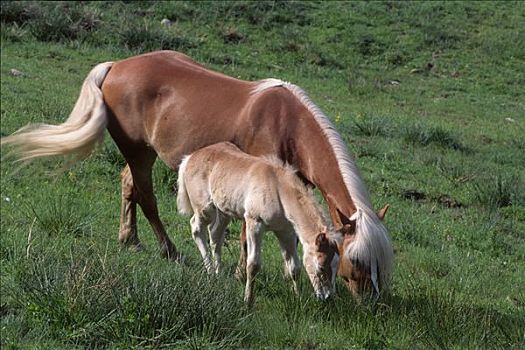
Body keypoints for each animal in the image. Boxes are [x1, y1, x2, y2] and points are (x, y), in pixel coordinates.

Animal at [176, 142, 340, 304]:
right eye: (321, 267)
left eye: (336, 267)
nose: (328, 297)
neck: (278, 189)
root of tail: (190, 157)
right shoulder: (254, 223)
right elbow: (253, 264)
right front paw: (248, 301)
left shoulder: (285, 231)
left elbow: (294, 266)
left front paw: (297, 298)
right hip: (206, 209)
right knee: (196, 228)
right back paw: (210, 272)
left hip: (223, 211)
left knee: (215, 234)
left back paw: (218, 274)